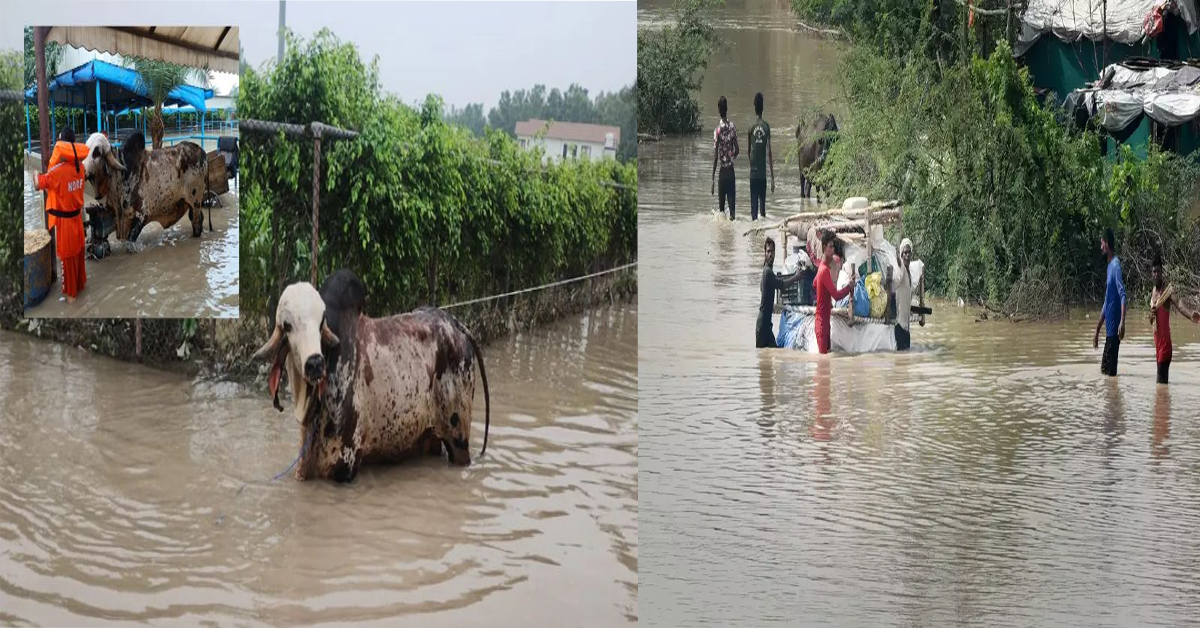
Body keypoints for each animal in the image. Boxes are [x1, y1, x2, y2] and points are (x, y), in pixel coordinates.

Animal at [82, 131, 210, 242]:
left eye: (97, 152)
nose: (82, 170)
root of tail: (202, 152)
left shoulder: (142, 215)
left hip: (196, 201)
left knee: (197, 224)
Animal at [255, 268, 494, 482]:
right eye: (287, 325)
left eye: (321, 322)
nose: (315, 364)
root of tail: (455, 324)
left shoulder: (346, 465)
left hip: (458, 436)